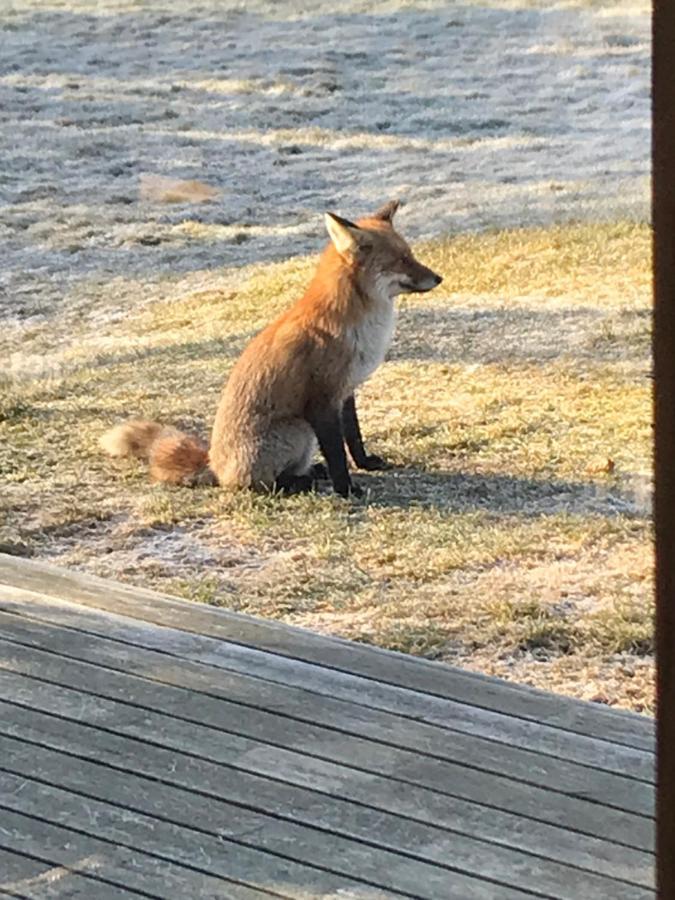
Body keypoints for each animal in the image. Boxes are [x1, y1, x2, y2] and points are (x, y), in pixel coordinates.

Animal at [101, 200, 444, 500]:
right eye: (402, 260)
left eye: (411, 254)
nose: (439, 277)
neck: (354, 324)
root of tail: (214, 464)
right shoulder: (321, 401)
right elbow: (336, 453)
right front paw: (347, 489)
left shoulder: (345, 391)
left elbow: (354, 437)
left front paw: (366, 464)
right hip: (298, 429)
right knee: (259, 484)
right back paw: (299, 482)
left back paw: (310, 472)